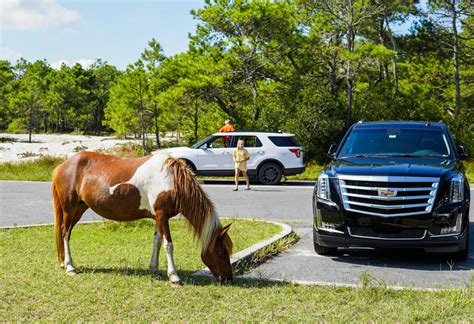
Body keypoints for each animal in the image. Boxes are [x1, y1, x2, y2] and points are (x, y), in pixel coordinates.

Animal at [51, 151, 233, 284]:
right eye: (222, 252)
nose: (228, 279)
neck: (171, 181)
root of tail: (62, 166)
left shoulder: (159, 217)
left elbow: (157, 242)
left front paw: (155, 270)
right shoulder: (162, 215)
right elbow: (168, 245)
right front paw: (174, 277)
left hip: (80, 208)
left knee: (67, 232)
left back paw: (65, 263)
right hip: (69, 208)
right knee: (65, 233)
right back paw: (70, 267)